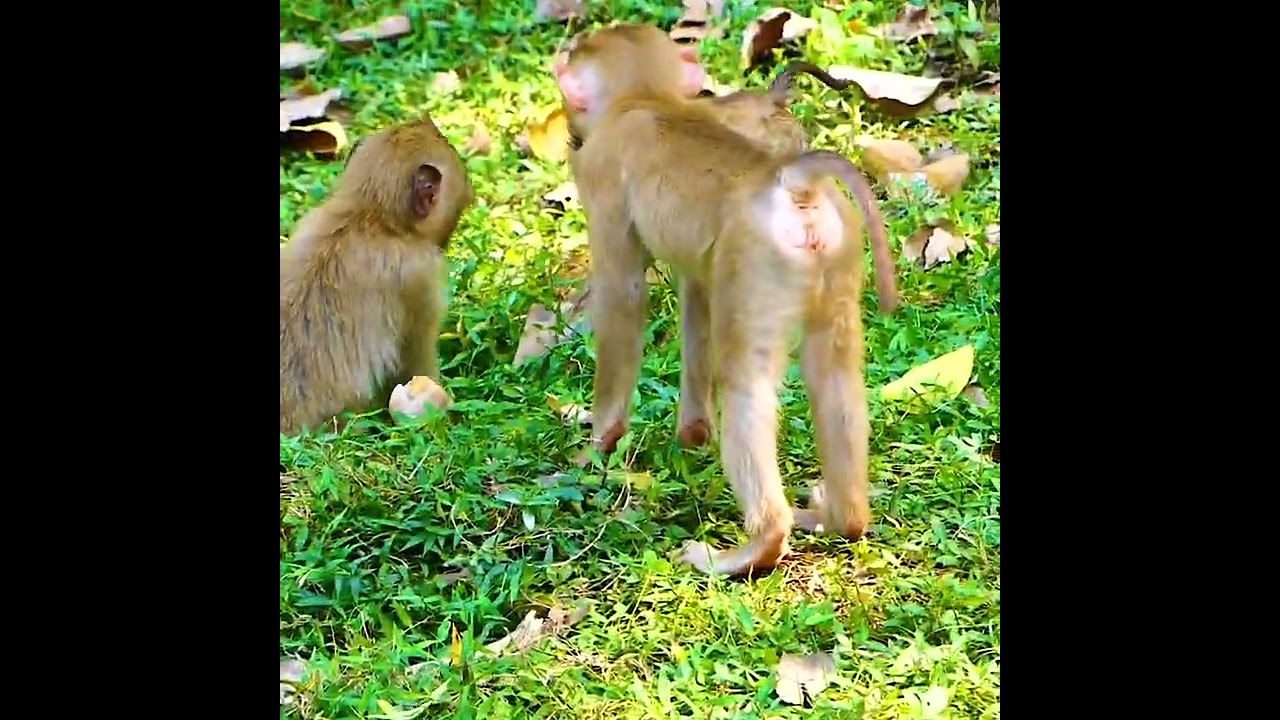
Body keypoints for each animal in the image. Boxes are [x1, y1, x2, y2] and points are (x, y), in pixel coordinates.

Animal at [554, 24, 898, 577]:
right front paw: (693, 432)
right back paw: (841, 519)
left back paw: (759, 544)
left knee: (746, 389)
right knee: (834, 376)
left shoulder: (600, 173)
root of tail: (793, 184)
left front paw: (595, 448)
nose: (570, 133)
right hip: (837, 255)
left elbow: (623, 296)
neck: (644, 97)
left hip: (756, 263)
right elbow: (696, 290)